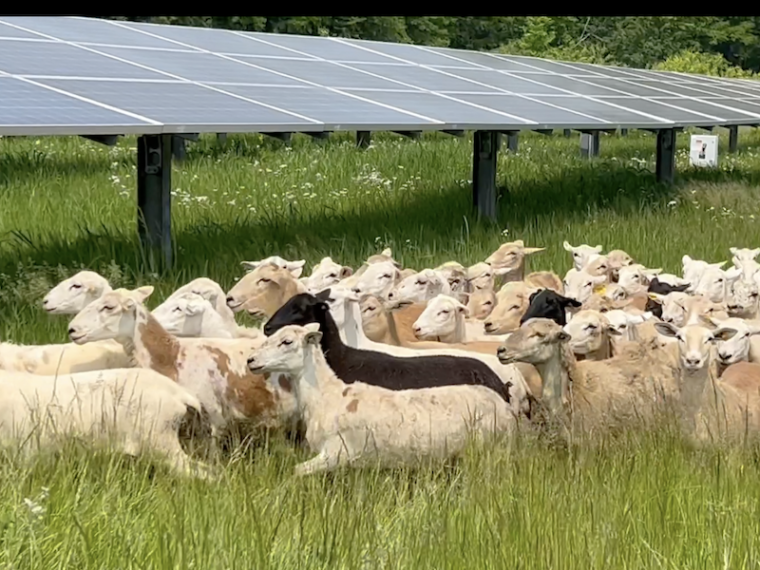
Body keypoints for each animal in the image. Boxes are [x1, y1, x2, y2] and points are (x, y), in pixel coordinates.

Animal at [246, 323, 516, 475]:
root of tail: (503, 401)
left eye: (287, 341)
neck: (326, 396)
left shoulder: (336, 453)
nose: (251, 360)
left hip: (489, 449)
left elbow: (296, 472)